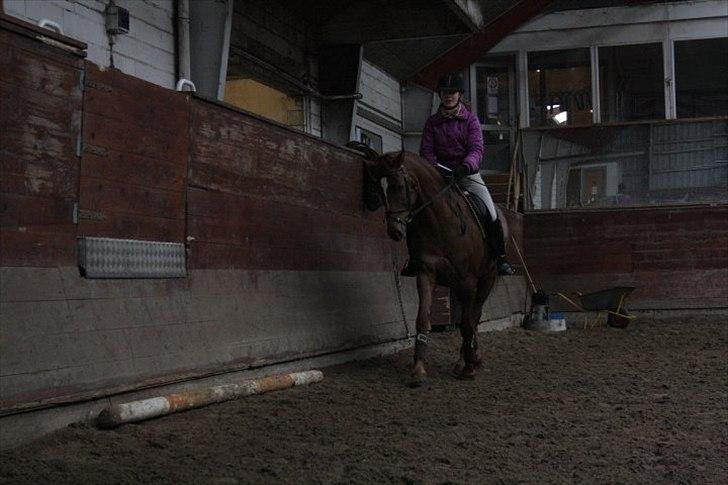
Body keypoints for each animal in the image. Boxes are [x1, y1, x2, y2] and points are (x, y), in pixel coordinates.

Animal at [352, 142, 500, 384]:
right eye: (380, 190)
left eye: (398, 186)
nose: (395, 230)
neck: (442, 223)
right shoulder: (426, 272)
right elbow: (423, 319)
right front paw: (418, 370)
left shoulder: (468, 280)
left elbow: (467, 323)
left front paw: (470, 368)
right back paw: (464, 360)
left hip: (486, 279)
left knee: (474, 317)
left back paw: (468, 360)